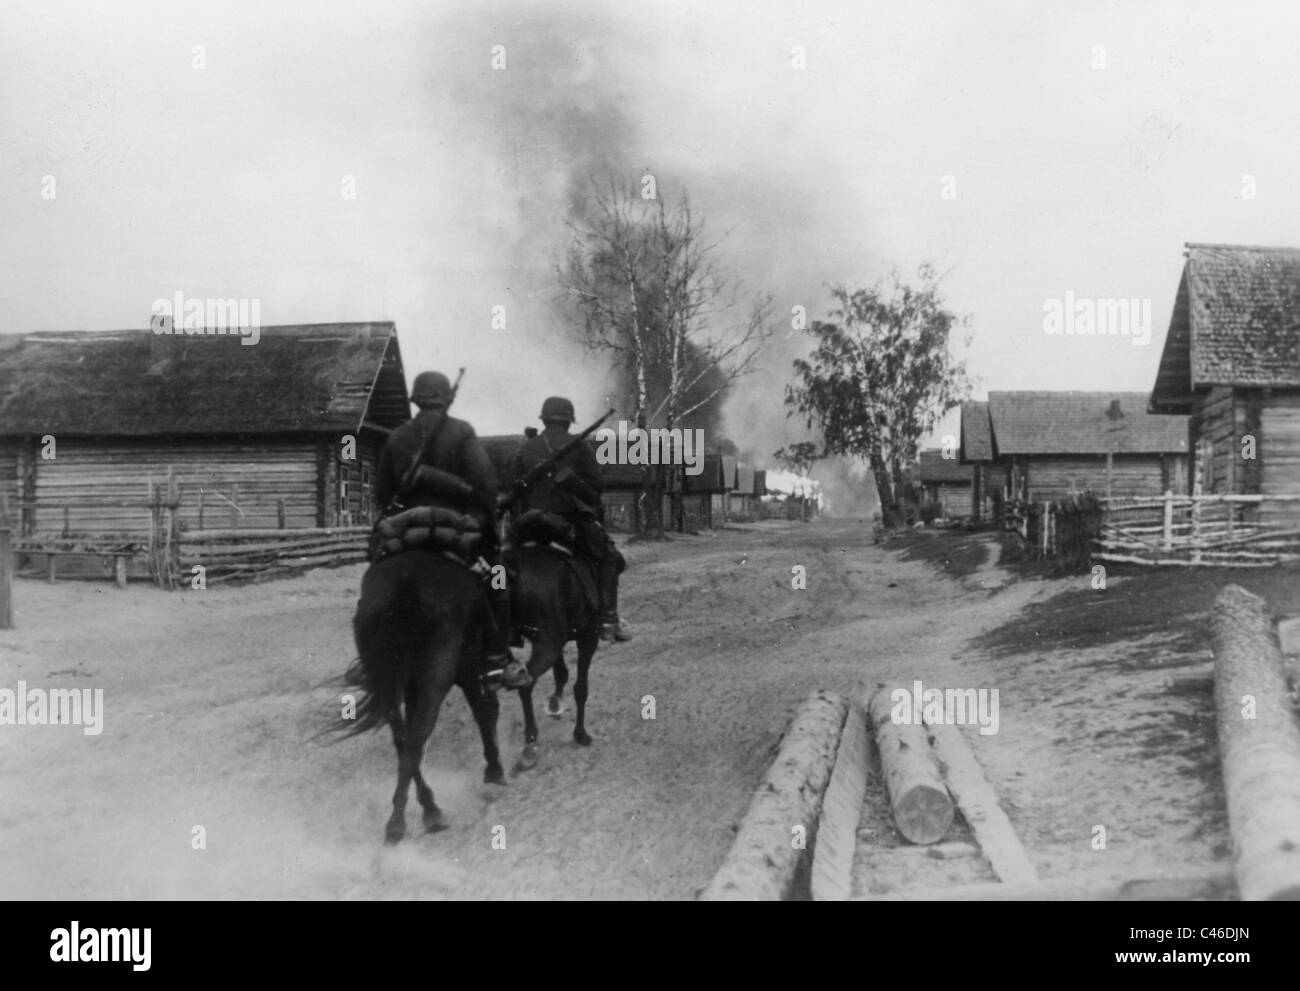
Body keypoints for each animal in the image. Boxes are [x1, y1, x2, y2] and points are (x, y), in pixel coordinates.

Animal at [343, 548, 504, 842]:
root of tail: (405, 586)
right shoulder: (469, 669)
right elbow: (483, 710)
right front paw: (494, 768)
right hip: (434, 683)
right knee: (416, 737)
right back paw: (407, 820)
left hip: (390, 688)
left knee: (403, 739)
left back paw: (422, 809)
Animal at [509, 541, 605, 764]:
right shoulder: (588, 637)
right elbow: (581, 688)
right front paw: (580, 734)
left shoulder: (558, 641)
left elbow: (561, 672)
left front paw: (555, 704)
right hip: (548, 645)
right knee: (525, 683)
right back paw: (530, 741)